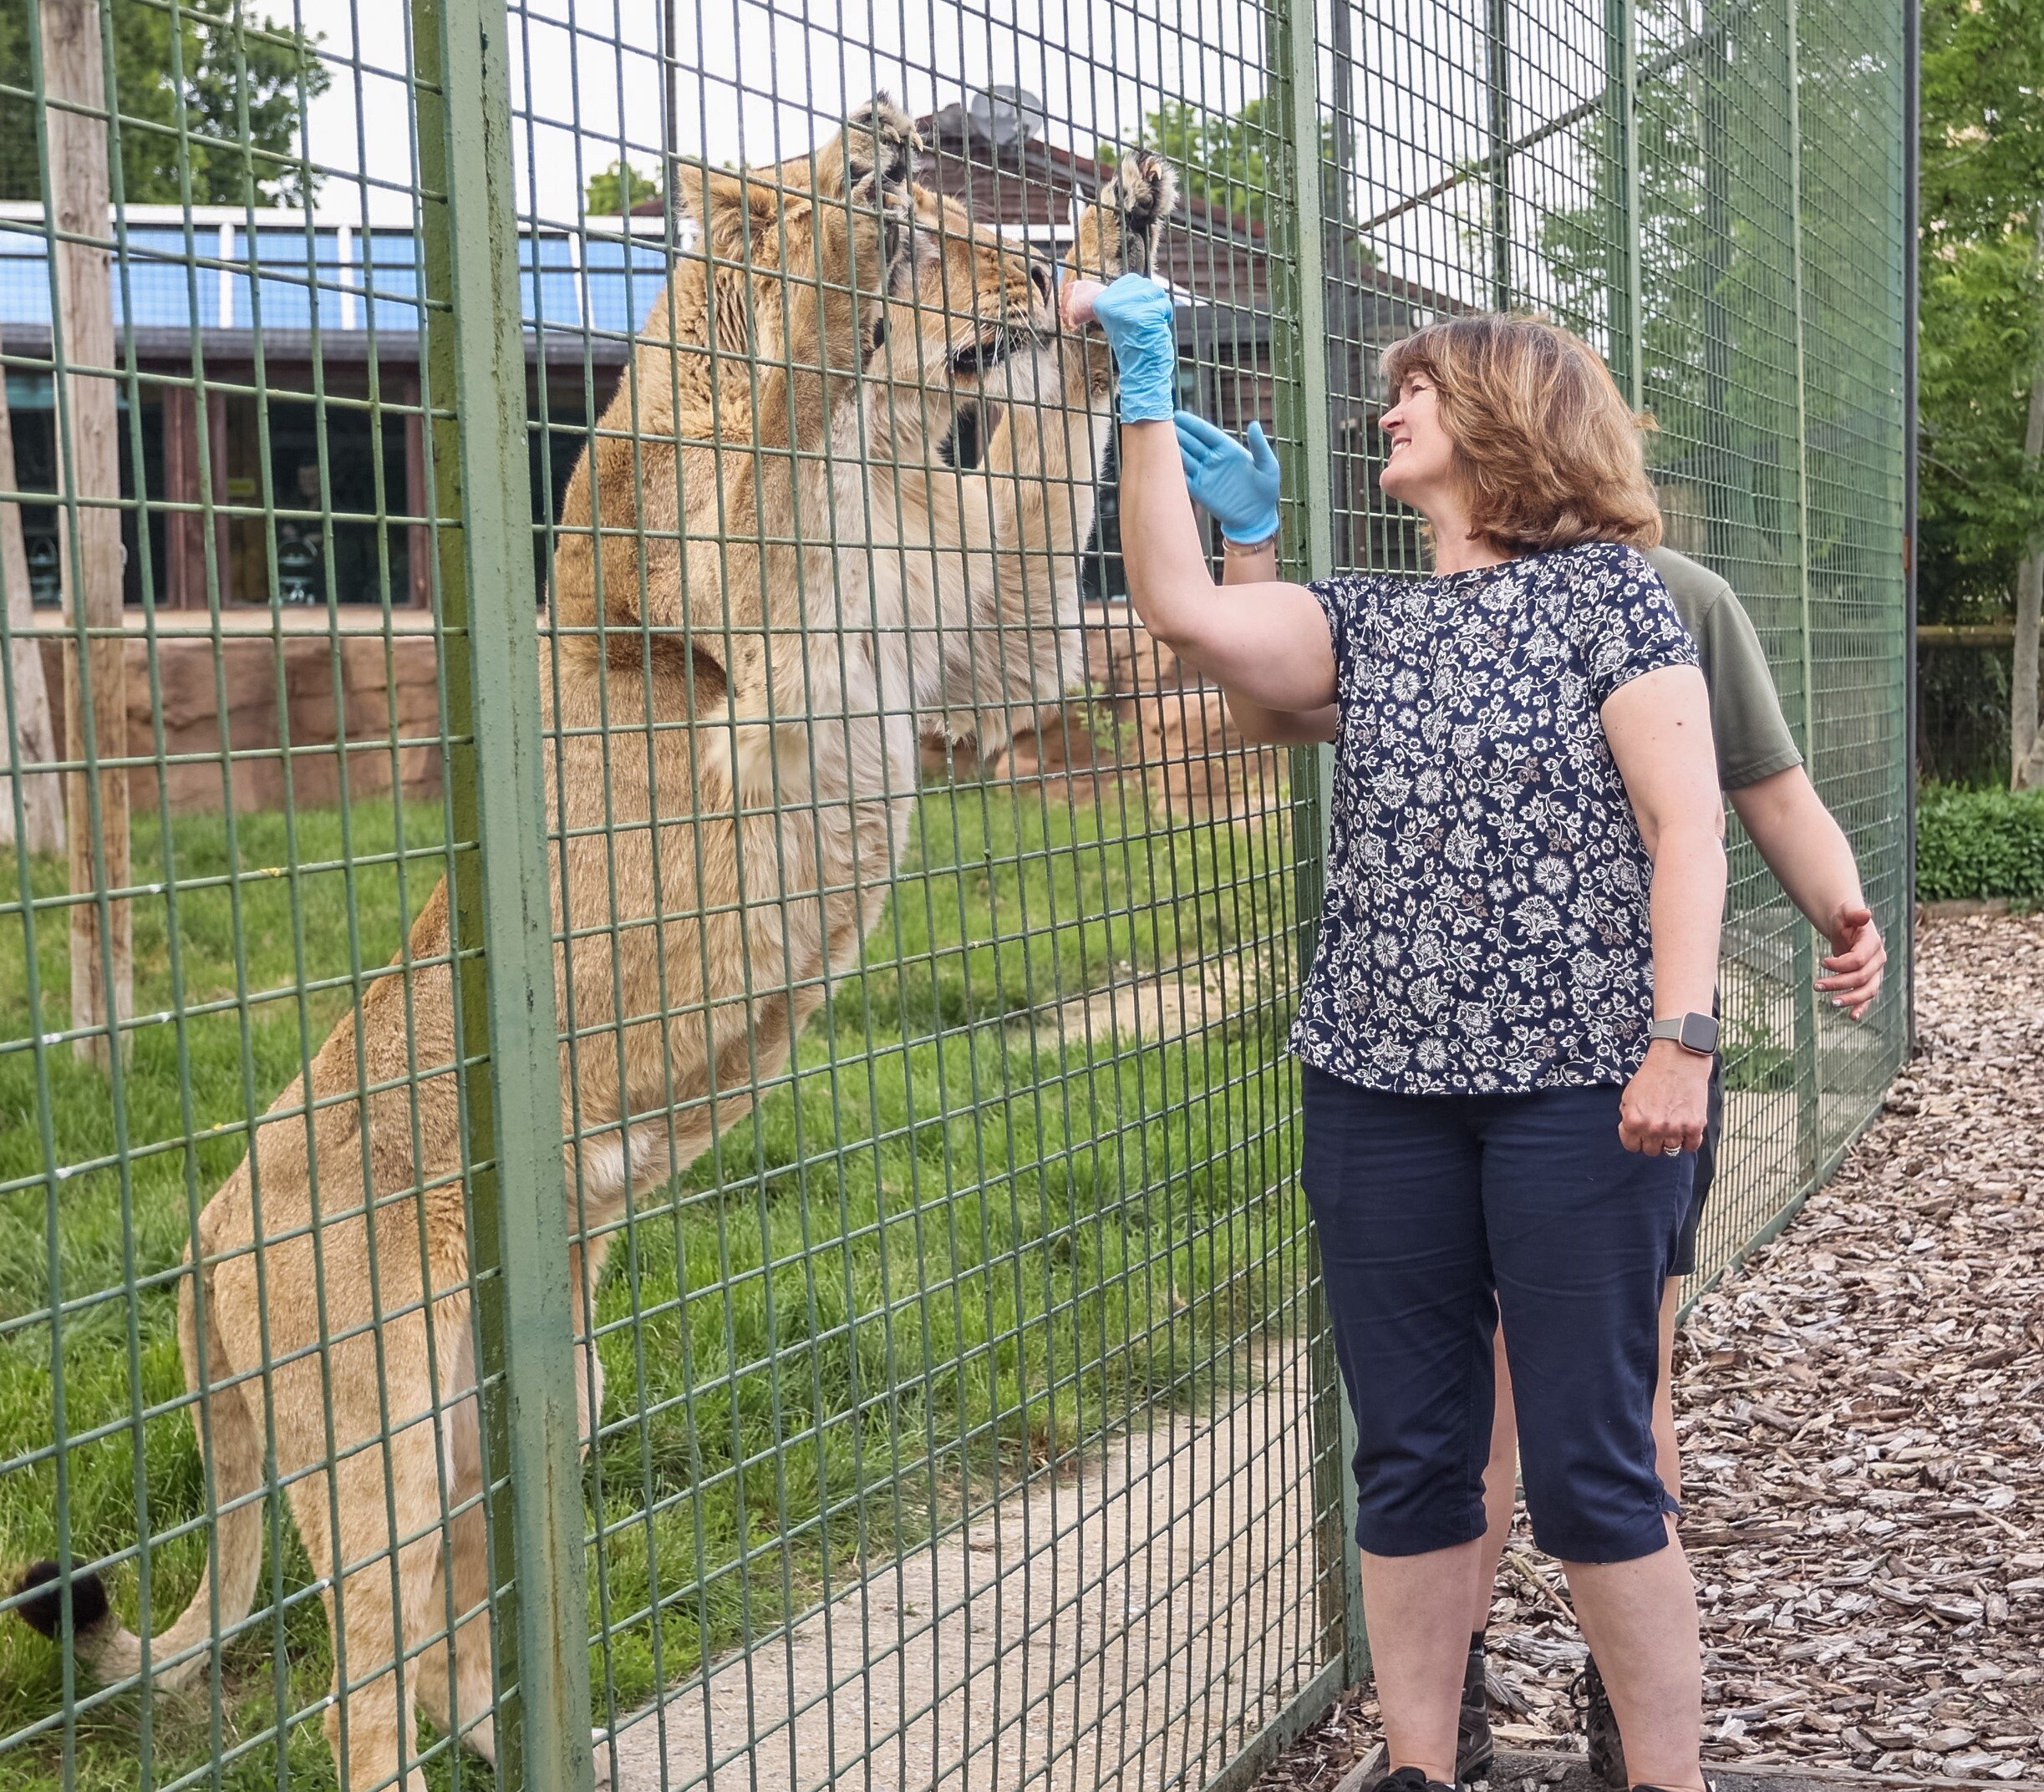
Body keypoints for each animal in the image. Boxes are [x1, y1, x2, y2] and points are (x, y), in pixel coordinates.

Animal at [12, 101, 1185, 1789]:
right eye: (953, 239)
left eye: (999, 228)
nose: (1028, 274)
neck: (888, 456)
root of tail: (206, 1230)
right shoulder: (774, 631)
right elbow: (792, 407)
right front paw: (856, 199)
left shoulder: (977, 644)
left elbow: (1040, 478)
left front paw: (1122, 237)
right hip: (374, 1433)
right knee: (358, 1691)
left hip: (532, 1409)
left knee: (454, 1646)